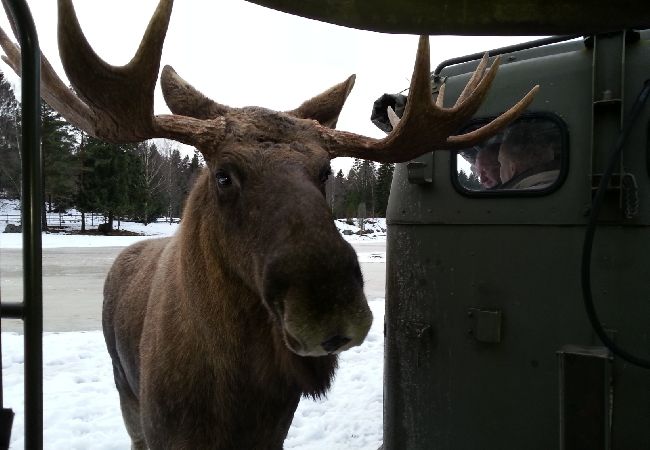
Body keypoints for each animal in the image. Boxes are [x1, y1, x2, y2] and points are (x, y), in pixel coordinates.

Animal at [0, 0, 536, 446]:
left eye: (325, 172)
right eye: (223, 174)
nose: (330, 306)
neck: (234, 395)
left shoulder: (272, 430)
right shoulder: (163, 429)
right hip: (123, 388)